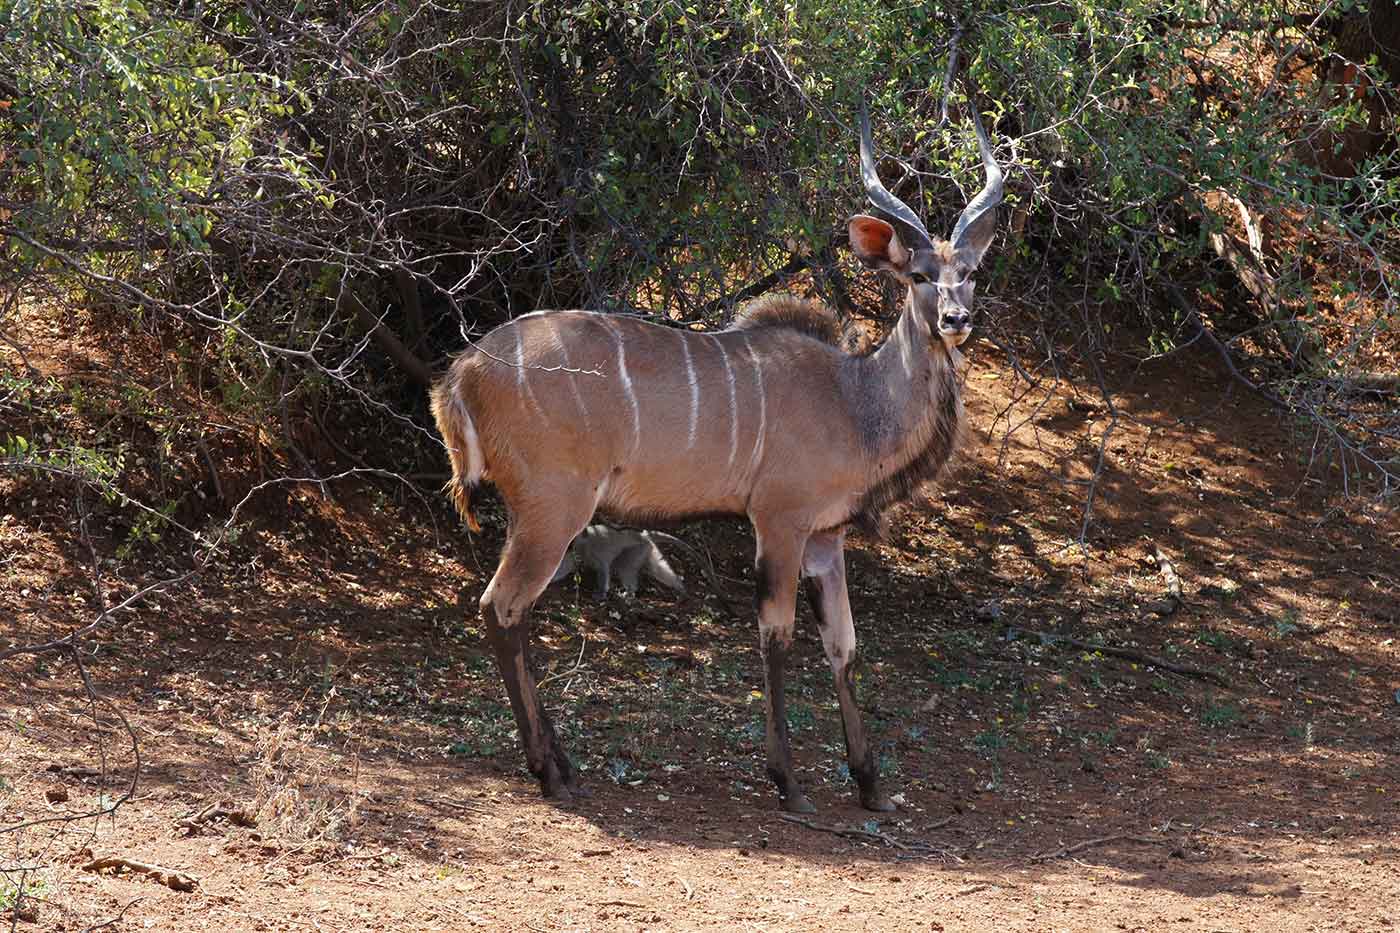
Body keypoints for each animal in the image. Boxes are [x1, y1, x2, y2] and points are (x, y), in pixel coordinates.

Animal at [431, 105, 1002, 812]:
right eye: (919, 275)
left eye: (969, 272)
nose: (955, 319)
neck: (853, 399)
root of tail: (465, 370)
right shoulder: (779, 522)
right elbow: (776, 637)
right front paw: (789, 783)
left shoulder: (826, 536)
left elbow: (843, 645)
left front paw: (872, 786)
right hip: (552, 509)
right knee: (501, 606)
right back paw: (552, 772)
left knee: (509, 610)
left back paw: (560, 765)